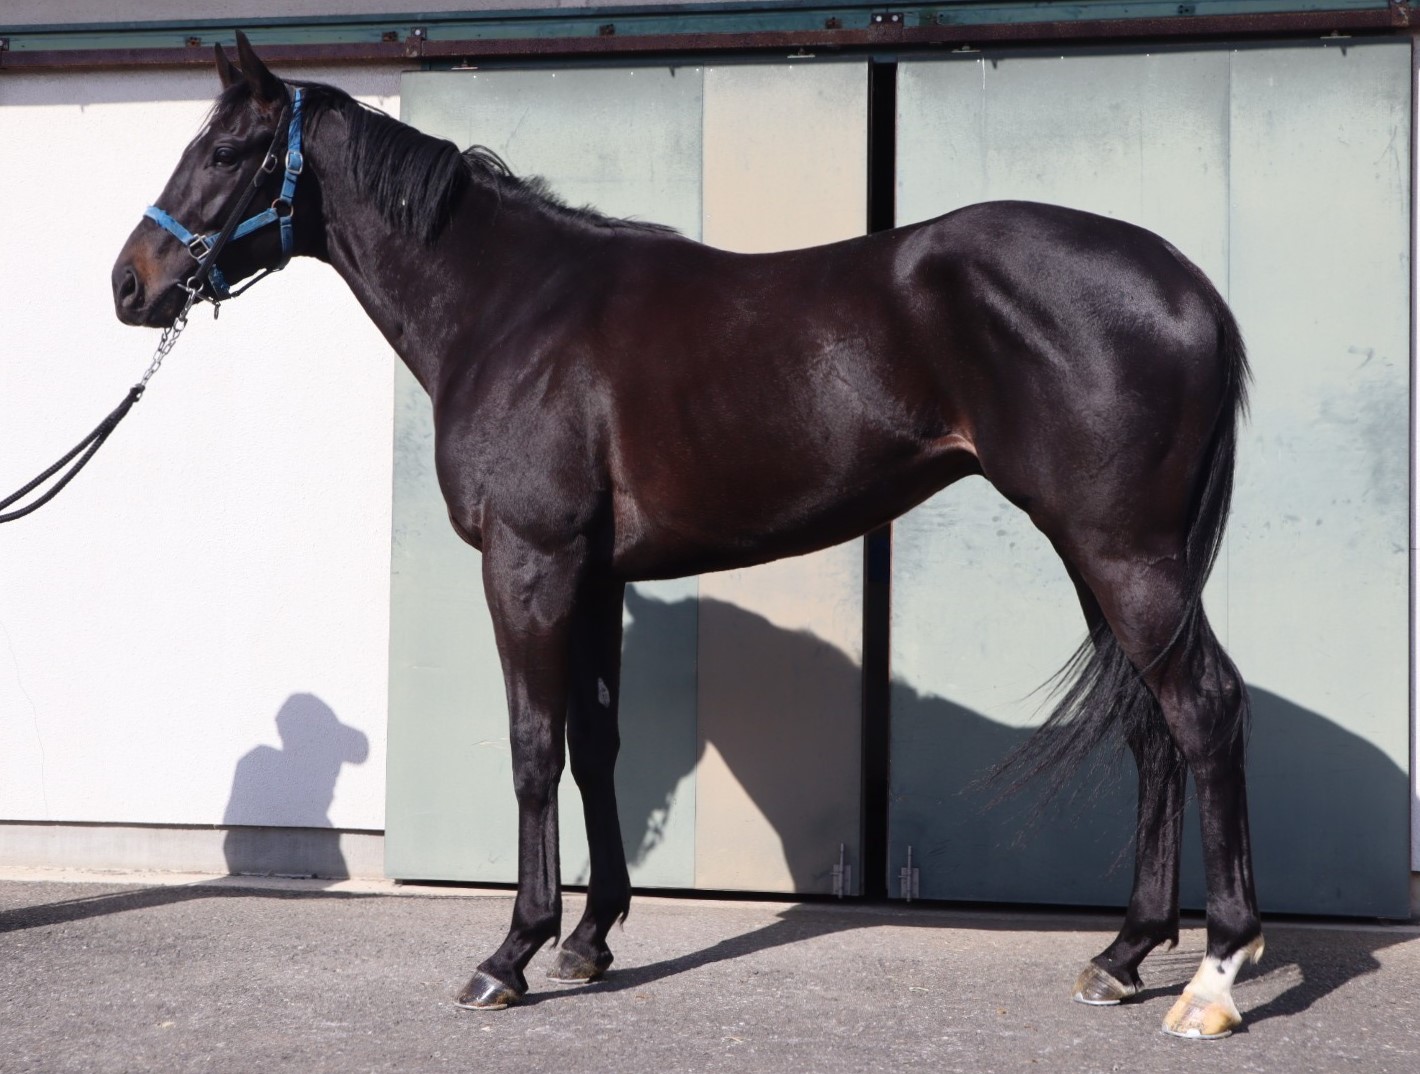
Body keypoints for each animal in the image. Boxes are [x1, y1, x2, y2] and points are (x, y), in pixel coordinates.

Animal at [112, 34, 1260, 1040]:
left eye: (226, 152)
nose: (130, 284)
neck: (510, 309)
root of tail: (1188, 285)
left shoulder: (529, 562)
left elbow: (533, 747)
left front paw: (510, 955)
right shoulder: (592, 575)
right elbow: (595, 743)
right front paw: (588, 940)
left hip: (1121, 552)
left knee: (1203, 708)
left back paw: (1214, 976)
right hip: (1098, 555)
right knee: (1151, 726)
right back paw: (1123, 956)